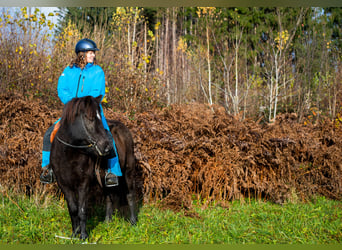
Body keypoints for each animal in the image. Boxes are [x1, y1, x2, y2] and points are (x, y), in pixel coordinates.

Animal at [49, 94, 138, 239]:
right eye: (90, 118)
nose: (107, 146)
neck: (68, 154)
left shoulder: (83, 184)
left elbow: (82, 210)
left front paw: (83, 236)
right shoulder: (64, 185)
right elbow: (73, 209)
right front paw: (74, 233)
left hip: (129, 171)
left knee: (130, 195)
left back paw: (133, 222)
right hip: (103, 179)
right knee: (109, 197)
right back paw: (107, 222)